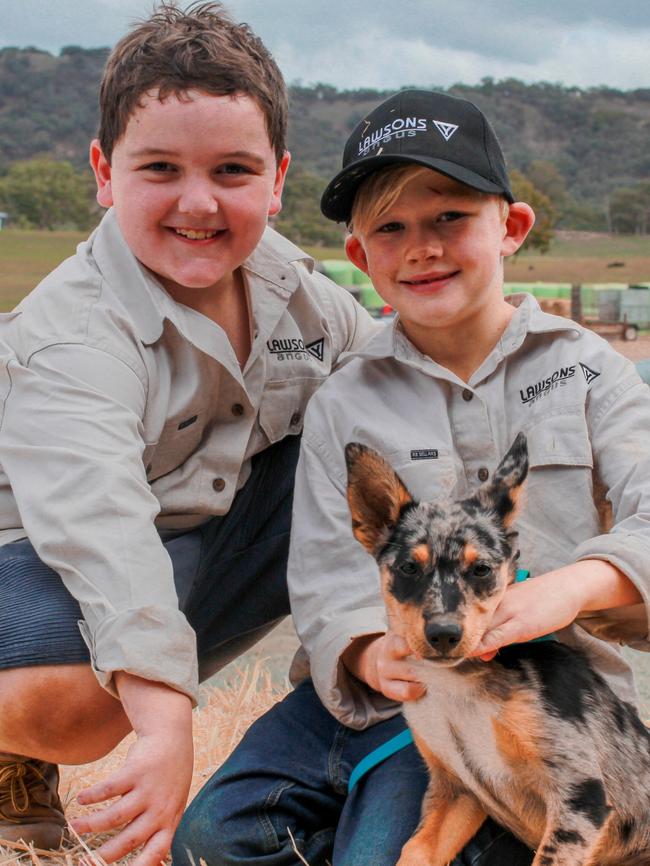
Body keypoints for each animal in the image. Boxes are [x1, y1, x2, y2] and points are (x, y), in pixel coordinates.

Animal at [344, 436, 648, 864]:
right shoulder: (456, 792)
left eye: (482, 569)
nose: (443, 634)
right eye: (408, 568)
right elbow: (413, 851)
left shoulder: (581, 797)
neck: (457, 688)